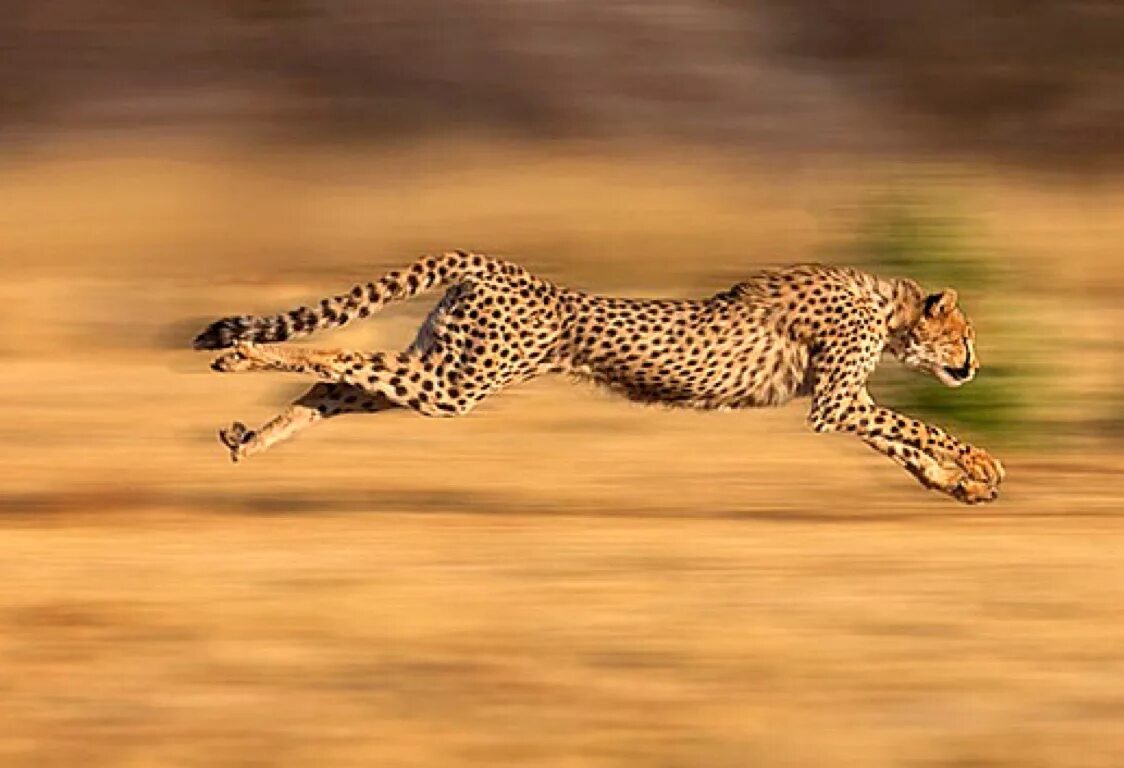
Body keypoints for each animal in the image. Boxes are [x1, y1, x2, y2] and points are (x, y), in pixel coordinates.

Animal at [195, 250, 1011, 503]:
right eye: (966, 334)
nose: (975, 364)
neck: (888, 305)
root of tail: (494, 264)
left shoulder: (842, 403)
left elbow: (900, 442)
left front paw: (957, 483)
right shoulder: (836, 400)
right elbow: (918, 425)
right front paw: (980, 462)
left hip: (445, 365)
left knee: (342, 384)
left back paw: (250, 433)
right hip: (458, 383)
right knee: (337, 357)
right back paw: (240, 356)